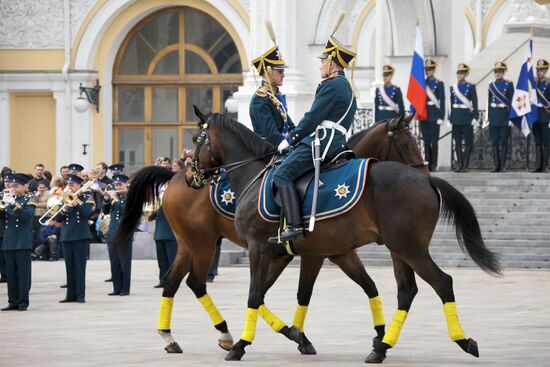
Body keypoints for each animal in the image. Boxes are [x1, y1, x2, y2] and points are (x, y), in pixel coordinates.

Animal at [115, 115, 426, 356]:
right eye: (406, 144)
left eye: (414, 143)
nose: (424, 175)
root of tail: (174, 176)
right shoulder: (307, 253)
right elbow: (282, 293)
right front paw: (294, 334)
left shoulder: (331, 252)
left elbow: (366, 287)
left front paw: (377, 335)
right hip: (201, 244)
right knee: (195, 282)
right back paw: (221, 334)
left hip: (189, 245)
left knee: (174, 282)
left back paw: (173, 336)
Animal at [191, 109, 504, 366]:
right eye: (405, 144)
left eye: (195, 138)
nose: (192, 175)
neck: (255, 175)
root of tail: (426, 182)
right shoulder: (315, 253)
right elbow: (273, 293)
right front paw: (294, 334)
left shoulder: (264, 249)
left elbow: (257, 294)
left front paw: (243, 344)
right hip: (399, 250)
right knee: (407, 291)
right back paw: (382, 347)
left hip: (410, 249)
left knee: (442, 283)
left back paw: (461, 341)